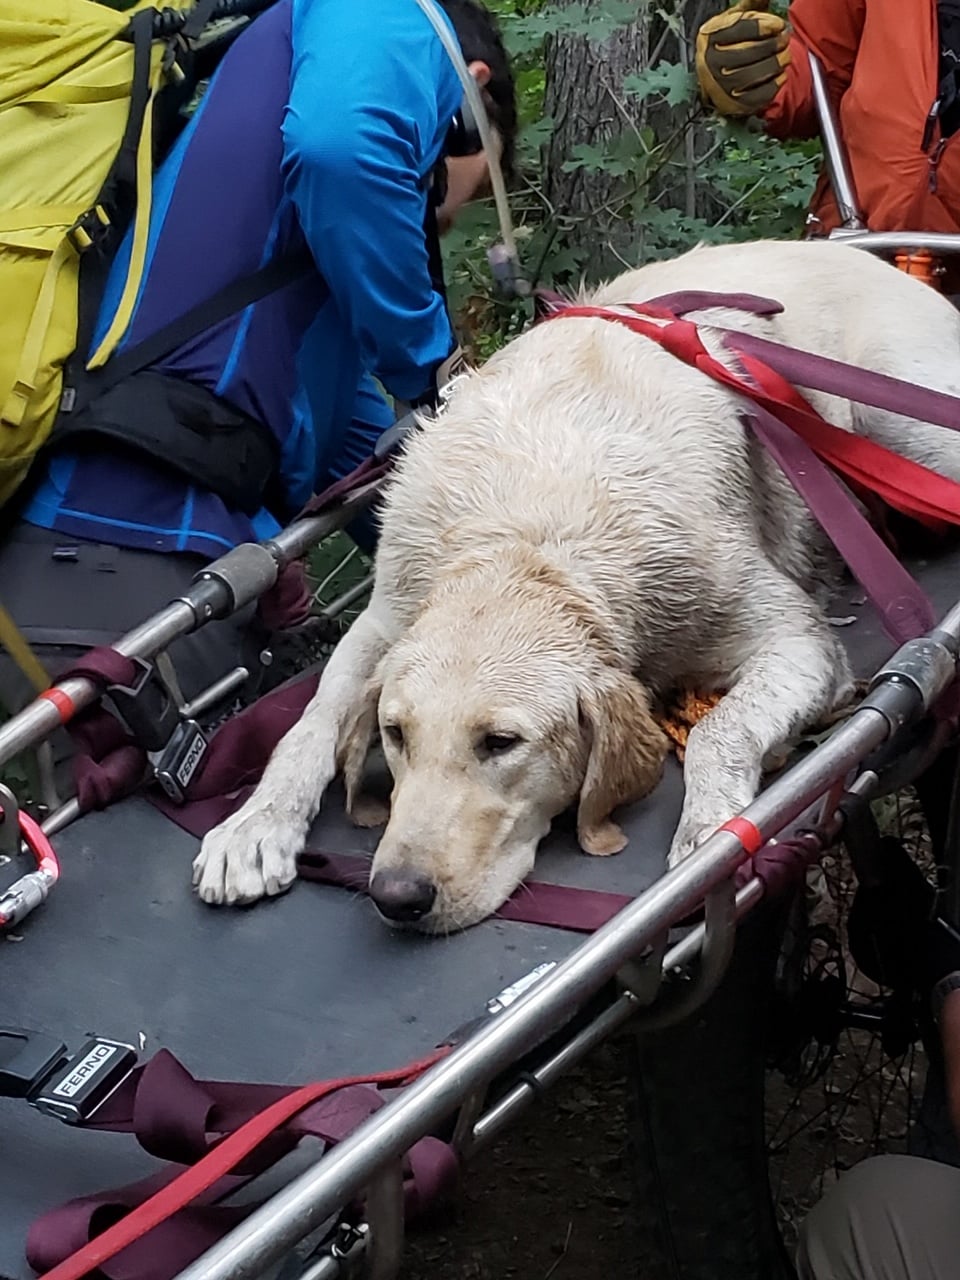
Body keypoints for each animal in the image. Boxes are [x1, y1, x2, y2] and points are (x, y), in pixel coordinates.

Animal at [192, 238, 960, 931]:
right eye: (395, 734)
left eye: (501, 743)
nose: (396, 897)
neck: (526, 535)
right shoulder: (384, 619)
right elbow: (311, 720)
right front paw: (256, 822)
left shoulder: (797, 638)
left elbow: (719, 729)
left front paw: (706, 829)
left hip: (902, 419)